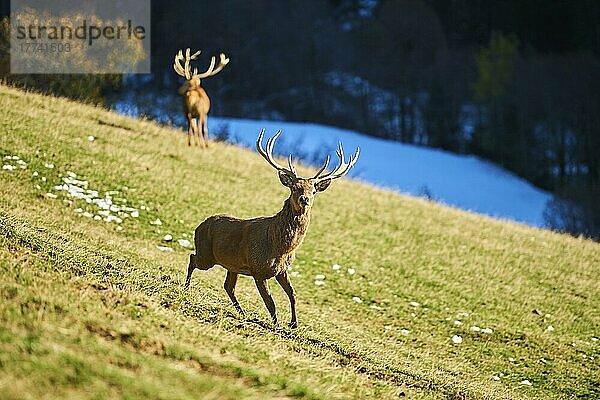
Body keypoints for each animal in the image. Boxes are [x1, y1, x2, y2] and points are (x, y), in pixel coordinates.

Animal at [185, 130, 358, 326]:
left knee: (228, 286)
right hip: (207, 255)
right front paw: (276, 325)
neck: (279, 247)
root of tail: (199, 226)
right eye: (295, 188)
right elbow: (270, 302)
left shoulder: (282, 270)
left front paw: (293, 323)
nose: (305, 199)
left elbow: (293, 294)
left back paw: (242, 312)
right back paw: (186, 288)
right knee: (192, 258)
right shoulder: (258, 269)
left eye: (313, 190)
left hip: (232, 265)